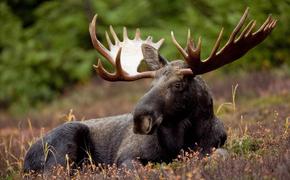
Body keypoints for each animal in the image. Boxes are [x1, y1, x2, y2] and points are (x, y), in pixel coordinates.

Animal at [23, 7, 276, 172]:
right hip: (63, 145)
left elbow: (221, 155)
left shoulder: (215, 146)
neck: (180, 142)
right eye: (151, 84)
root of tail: (26, 158)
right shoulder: (126, 157)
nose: (139, 118)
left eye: (178, 84)